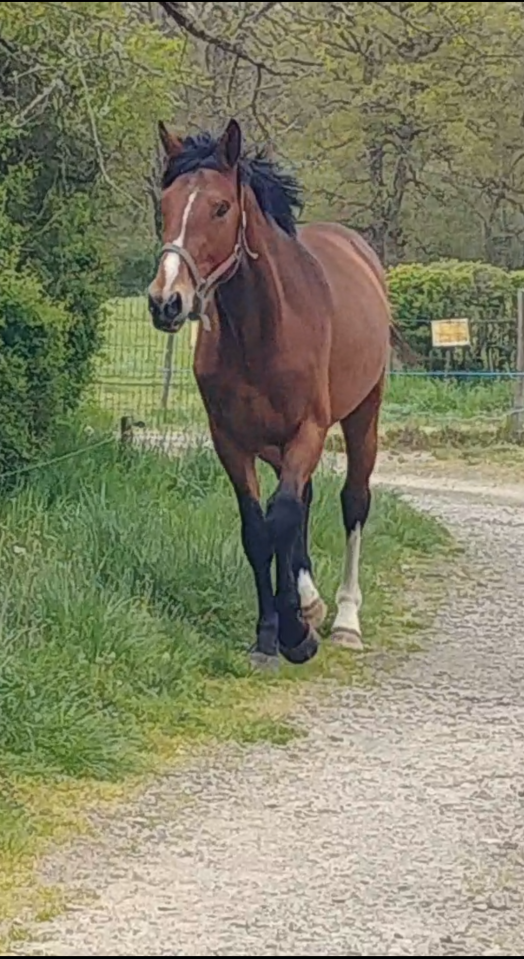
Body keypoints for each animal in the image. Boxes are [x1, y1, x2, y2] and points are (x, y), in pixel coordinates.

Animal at [148, 117, 405, 669]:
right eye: (166, 205)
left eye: (221, 207)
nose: (166, 302)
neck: (263, 328)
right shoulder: (231, 440)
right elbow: (258, 527)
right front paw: (271, 634)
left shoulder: (307, 430)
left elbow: (282, 517)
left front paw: (295, 635)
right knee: (300, 502)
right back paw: (310, 602)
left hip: (363, 415)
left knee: (352, 501)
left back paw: (345, 620)